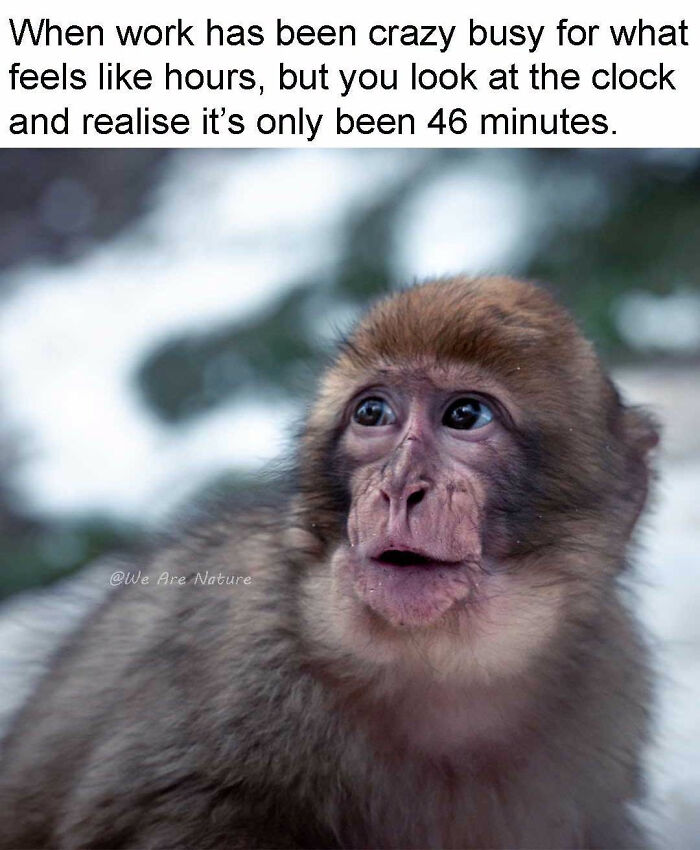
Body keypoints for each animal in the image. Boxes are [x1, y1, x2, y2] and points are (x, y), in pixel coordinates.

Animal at [0, 276, 658, 849]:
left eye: (466, 415)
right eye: (372, 413)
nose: (398, 486)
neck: (438, 673)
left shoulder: (611, 686)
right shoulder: (233, 642)